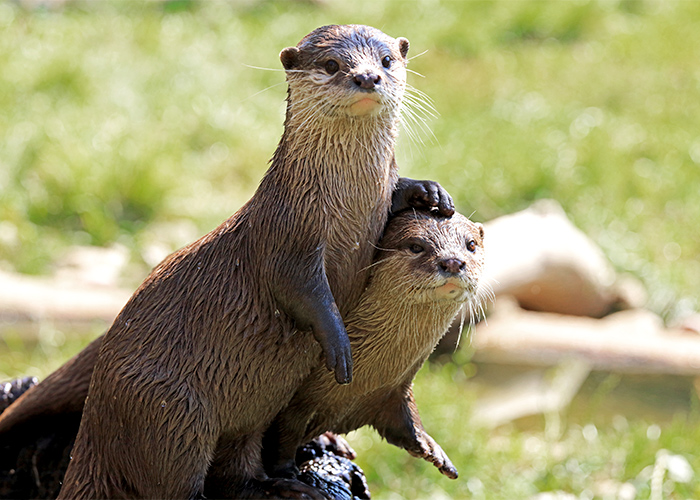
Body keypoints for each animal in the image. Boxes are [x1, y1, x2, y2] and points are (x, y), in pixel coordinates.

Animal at [52, 24, 452, 500]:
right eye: (332, 65)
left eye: (387, 60)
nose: (367, 77)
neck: (344, 209)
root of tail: (92, 430)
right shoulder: (286, 239)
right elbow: (301, 291)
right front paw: (339, 344)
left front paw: (428, 192)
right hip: (171, 412)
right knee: (177, 482)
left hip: (247, 415)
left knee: (236, 470)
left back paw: (288, 487)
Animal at [264, 211, 486, 484]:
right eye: (416, 246)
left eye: (471, 245)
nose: (453, 262)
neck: (360, 384)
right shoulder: (295, 404)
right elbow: (284, 435)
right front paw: (287, 474)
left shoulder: (394, 389)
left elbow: (405, 420)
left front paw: (432, 447)